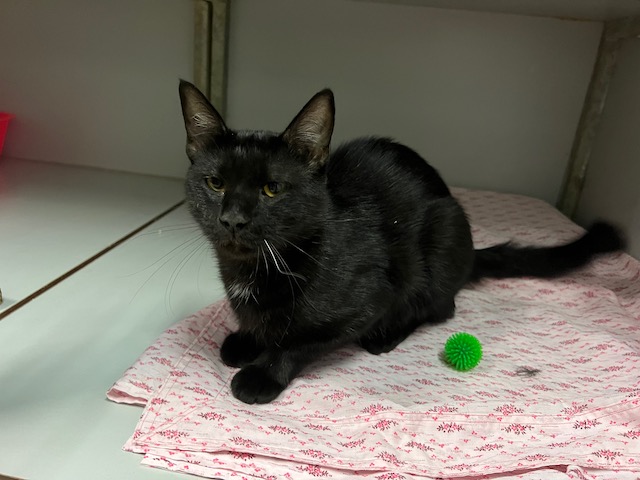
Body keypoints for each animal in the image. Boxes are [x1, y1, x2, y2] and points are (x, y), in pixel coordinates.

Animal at [178, 80, 624, 404]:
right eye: (215, 183)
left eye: (272, 189)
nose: (233, 219)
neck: (256, 267)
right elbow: (259, 324)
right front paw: (246, 339)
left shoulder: (368, 299)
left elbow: (300, 341)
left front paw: (263, 373)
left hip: (442, 235)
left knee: (442, 306)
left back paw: (386, 336)